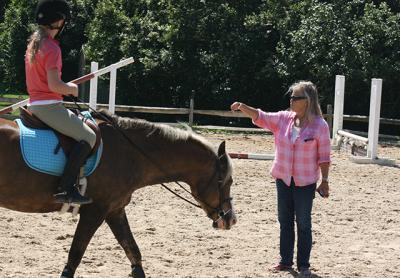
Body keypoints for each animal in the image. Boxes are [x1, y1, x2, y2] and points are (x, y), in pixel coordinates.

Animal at [0, 111, 238, 278]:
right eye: (226, 182)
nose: (231, 219)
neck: (132, 154)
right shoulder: (94, 212)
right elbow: (75, 256)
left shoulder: (115, 210)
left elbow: (133, 251)